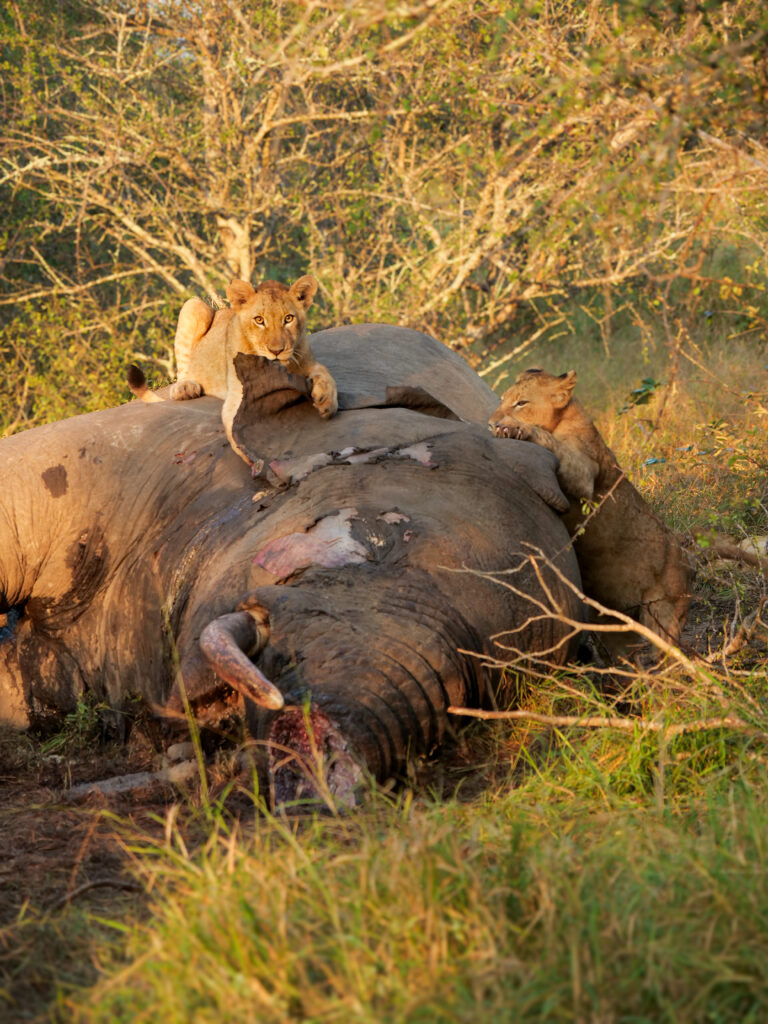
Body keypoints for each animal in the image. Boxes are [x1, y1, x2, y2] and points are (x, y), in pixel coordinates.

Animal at [129, 275, 337, 462]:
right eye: (259, 320)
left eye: (288, 318)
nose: (276, 350)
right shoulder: (238, 394)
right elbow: (235, 426)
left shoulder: (309, 363)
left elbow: (326, 375)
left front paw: (326, 402)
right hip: (194, 305)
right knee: (183, 370)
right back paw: (186, 388)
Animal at [489, 368, 693, 659]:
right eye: (503, 399)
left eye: (521, 403)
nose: (491, 424)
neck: (562, 419)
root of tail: (686, 555)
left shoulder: (585, 473)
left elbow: (553, 444)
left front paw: (516, 429)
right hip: (615, 623)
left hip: (665, 611)